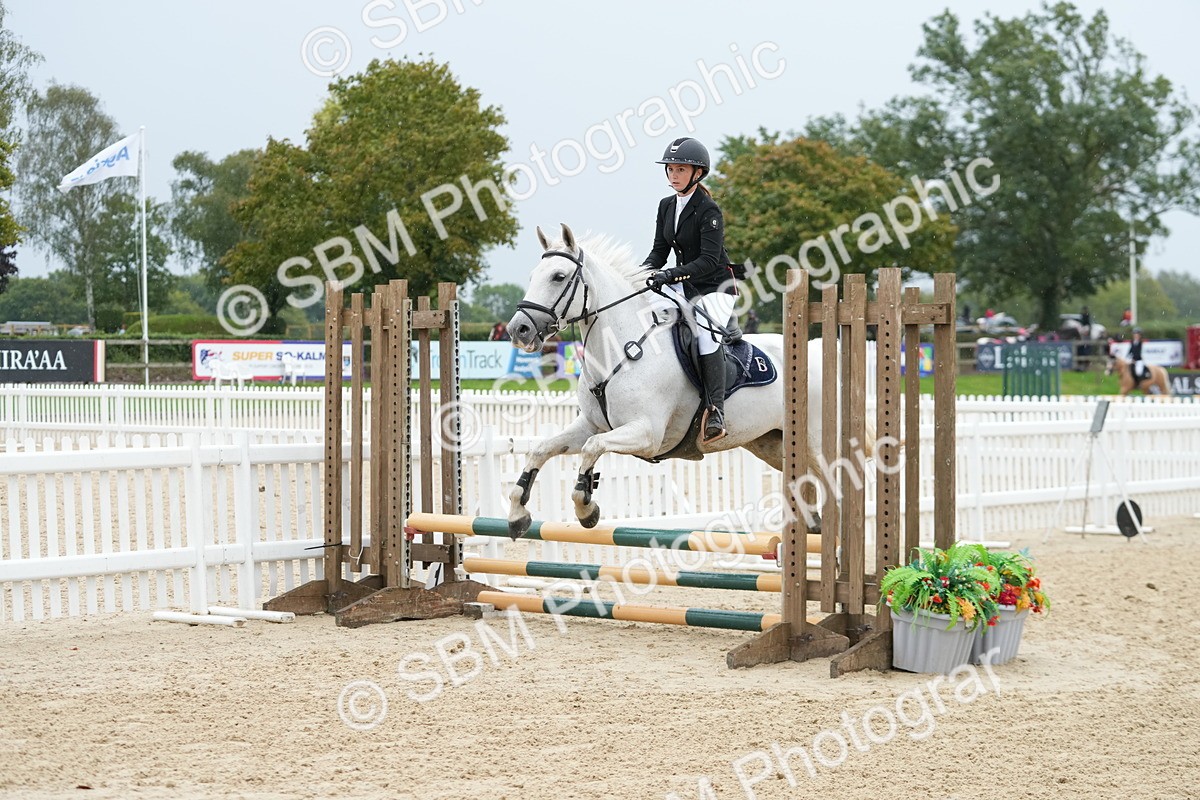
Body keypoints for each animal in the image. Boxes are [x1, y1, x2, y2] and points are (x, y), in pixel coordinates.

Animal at [503, 223, 871, 540]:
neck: (622, 346)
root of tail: (820, 353)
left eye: (559, 276)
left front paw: (586, 509)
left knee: (842, 486)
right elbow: (541, 449)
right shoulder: (591, 426)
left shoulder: (646, 434)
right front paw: (518, 514)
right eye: (533, 276)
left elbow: (592, 451)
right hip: (773, 444)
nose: (518, 330)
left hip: (818, 444)